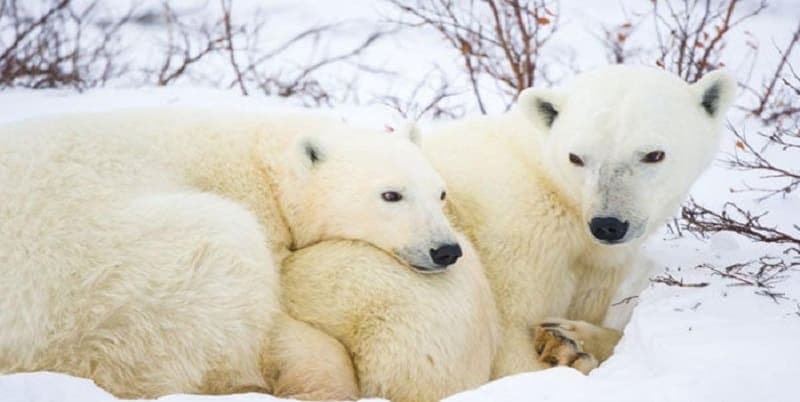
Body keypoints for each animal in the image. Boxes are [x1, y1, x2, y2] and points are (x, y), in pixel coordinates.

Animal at [421, 65, 735, 377]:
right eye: (576, 157)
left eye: (654, 155)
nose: (607, 224)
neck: (558, 193)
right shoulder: (516, 242)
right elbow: (511, 346)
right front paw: (561, 348)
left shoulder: (597, 269)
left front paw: (568, 335)